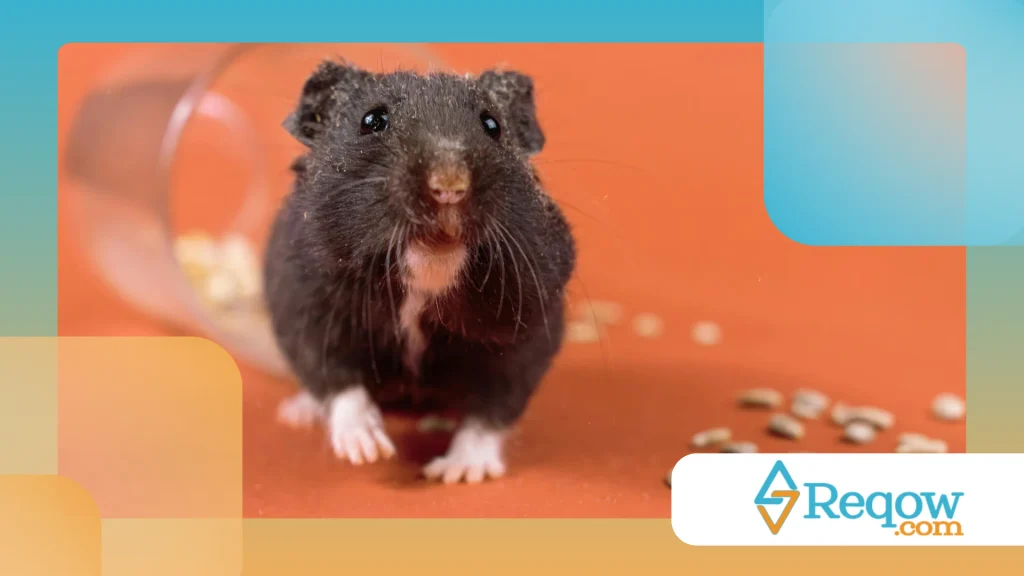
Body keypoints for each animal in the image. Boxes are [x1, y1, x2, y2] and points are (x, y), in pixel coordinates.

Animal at [264, 59, 576, 484]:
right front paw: (368, 451)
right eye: (372, 120)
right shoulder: (305, 306)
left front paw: (457, 473)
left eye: (492, 125)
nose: (449, 187)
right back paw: (297, 414)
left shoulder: (527, 328)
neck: (431, 265)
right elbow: (336, 379)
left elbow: (494, 407)